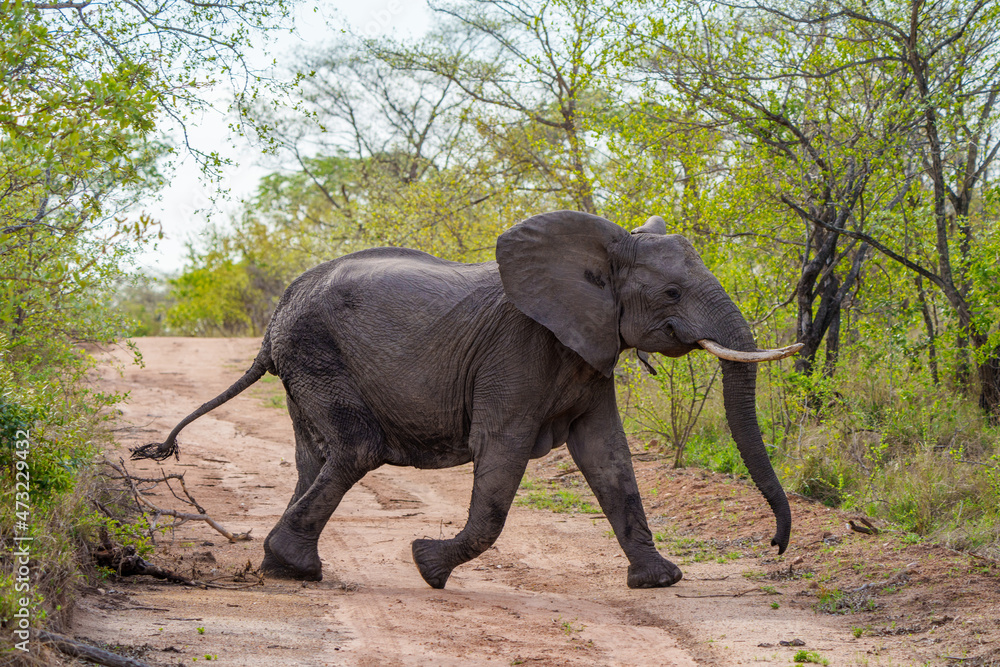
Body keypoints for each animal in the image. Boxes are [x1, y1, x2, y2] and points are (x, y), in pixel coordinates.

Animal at [135, 209, 804, 588]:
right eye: (670, 293)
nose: (775, 546)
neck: (601, 246)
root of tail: (278, 312)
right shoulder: (519, 352)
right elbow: (501, 454)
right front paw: (427, 566)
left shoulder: (588, 351)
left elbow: (608, 458)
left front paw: (660, 581)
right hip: (317, 353)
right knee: (356, 449)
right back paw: (295, 569)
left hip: (307, 366)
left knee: (315, 457)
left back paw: (286, 567)